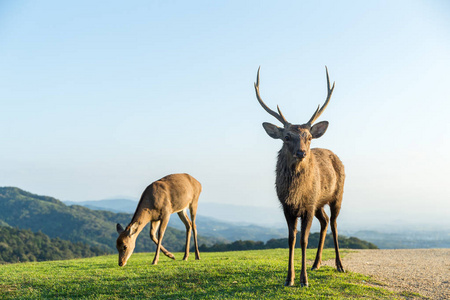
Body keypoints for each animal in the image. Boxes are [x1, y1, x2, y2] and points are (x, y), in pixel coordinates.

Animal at [255, 67, 346, 288]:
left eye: (309, 137)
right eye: (287, 137)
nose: (302, 153)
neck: (296, 194)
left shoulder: (308, 206)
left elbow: (304, 240)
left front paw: (304, 280)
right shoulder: (287, 207)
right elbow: (291, 239)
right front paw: (289, 278)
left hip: (337, 195)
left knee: (334, 224)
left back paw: (339, 265)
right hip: (319, 202)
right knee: (325, 221)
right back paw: (316, 264)